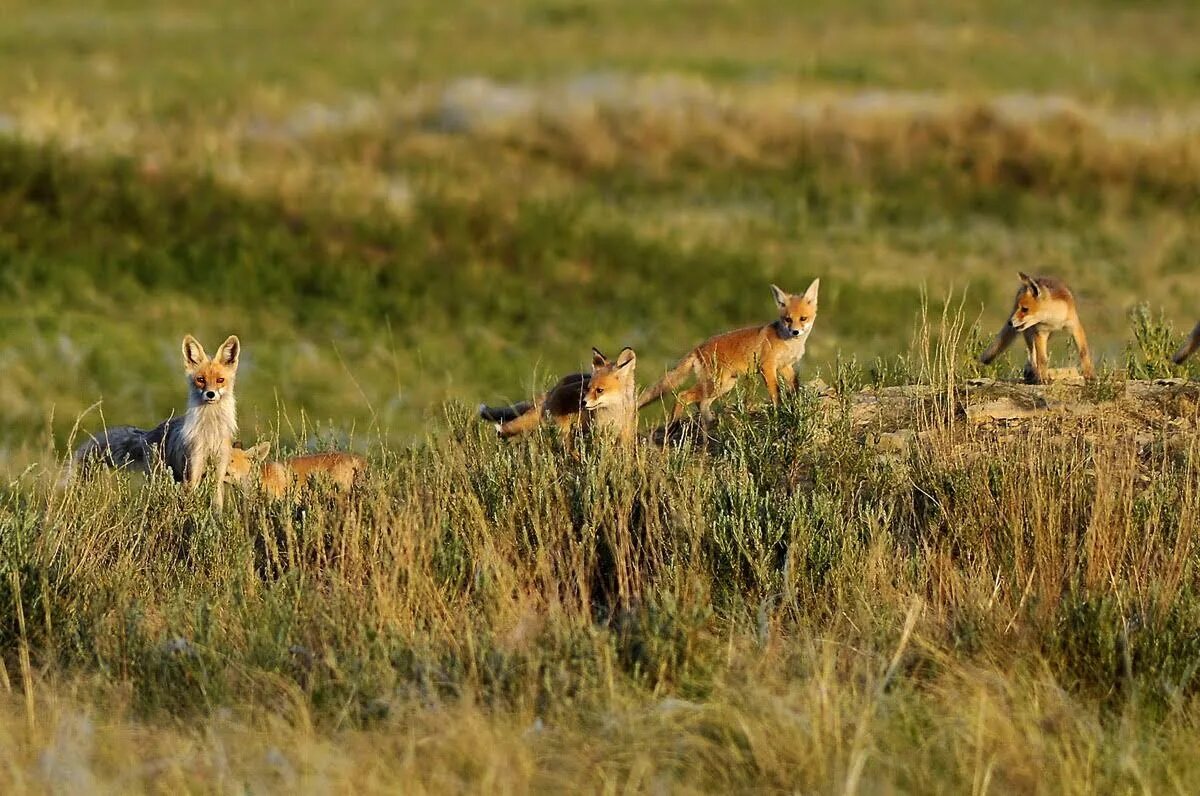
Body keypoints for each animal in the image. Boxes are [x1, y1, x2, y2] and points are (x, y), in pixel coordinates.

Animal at [69, 333, 242, 511]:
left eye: (220, 380)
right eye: (200, 379)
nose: (210, 394)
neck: (210, 432)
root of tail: (149, 433)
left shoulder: (219, 471)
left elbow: (217, 505)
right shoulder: (193, 469)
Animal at [475, 348, 638, 444]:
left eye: (600, 390)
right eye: (588, 388)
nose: (582, 403)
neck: (614, 414)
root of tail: (553, 390)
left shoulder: (626, 434)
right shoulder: (598, 433)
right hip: (564, 432)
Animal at [633, 279, 820, 422]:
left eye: (803, 318)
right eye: (788, 319)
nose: (795, 332)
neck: (788, 343)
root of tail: (697, 348)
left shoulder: (785, 367)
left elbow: (794, 385)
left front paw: (796, 403)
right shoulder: (767, 367)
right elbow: (776, 393)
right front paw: (779, 410)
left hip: (725, 385)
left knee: (701, 403)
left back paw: (709, 423)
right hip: (716, 383)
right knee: (683, 395)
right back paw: (674, 424)